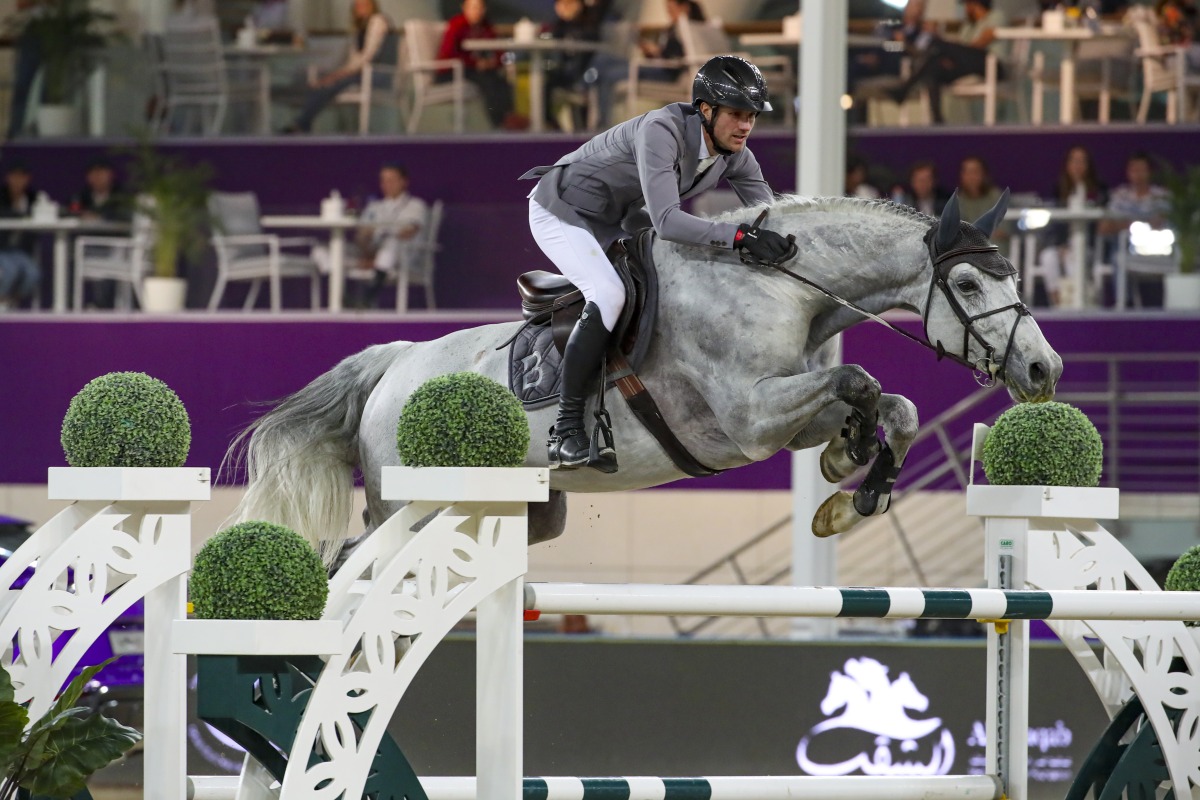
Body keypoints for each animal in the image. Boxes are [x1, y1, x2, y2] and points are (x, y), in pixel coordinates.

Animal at [231, 193, 1060, 563]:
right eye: (971, 285)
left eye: (1015, 275)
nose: (1044, 369)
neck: (781, 286)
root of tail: (392, 366)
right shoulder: (750, 421)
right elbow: (858, 380)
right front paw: (851, 476)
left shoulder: (785, 414)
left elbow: (897, 406)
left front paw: (849, 486)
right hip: (416, 505)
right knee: (353, 564)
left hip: (518, 513)